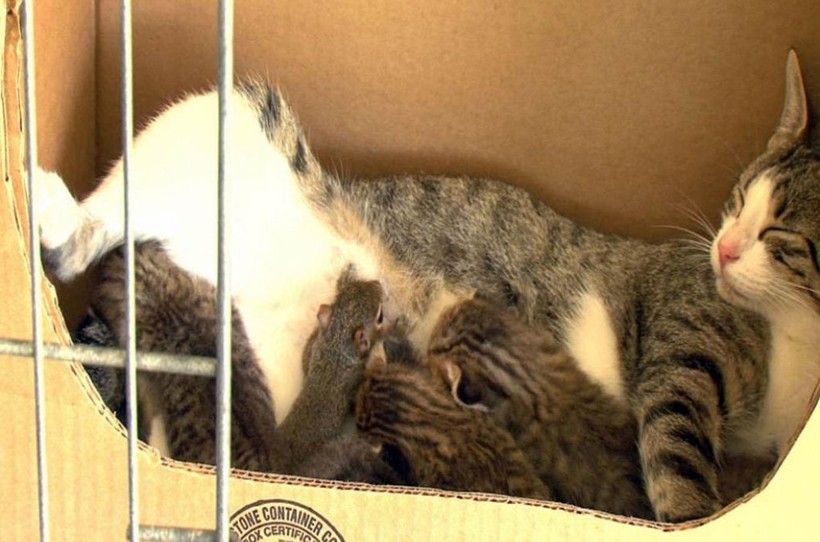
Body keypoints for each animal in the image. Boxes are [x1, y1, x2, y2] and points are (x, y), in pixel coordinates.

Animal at [34, 51, 818, 521]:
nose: (725, 246)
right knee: (88, 231)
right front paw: (689, 514)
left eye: (780, 231)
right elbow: (677, 445)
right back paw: (49, 207)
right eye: (741, 199)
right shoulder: (680, 344)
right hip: (219, 120)